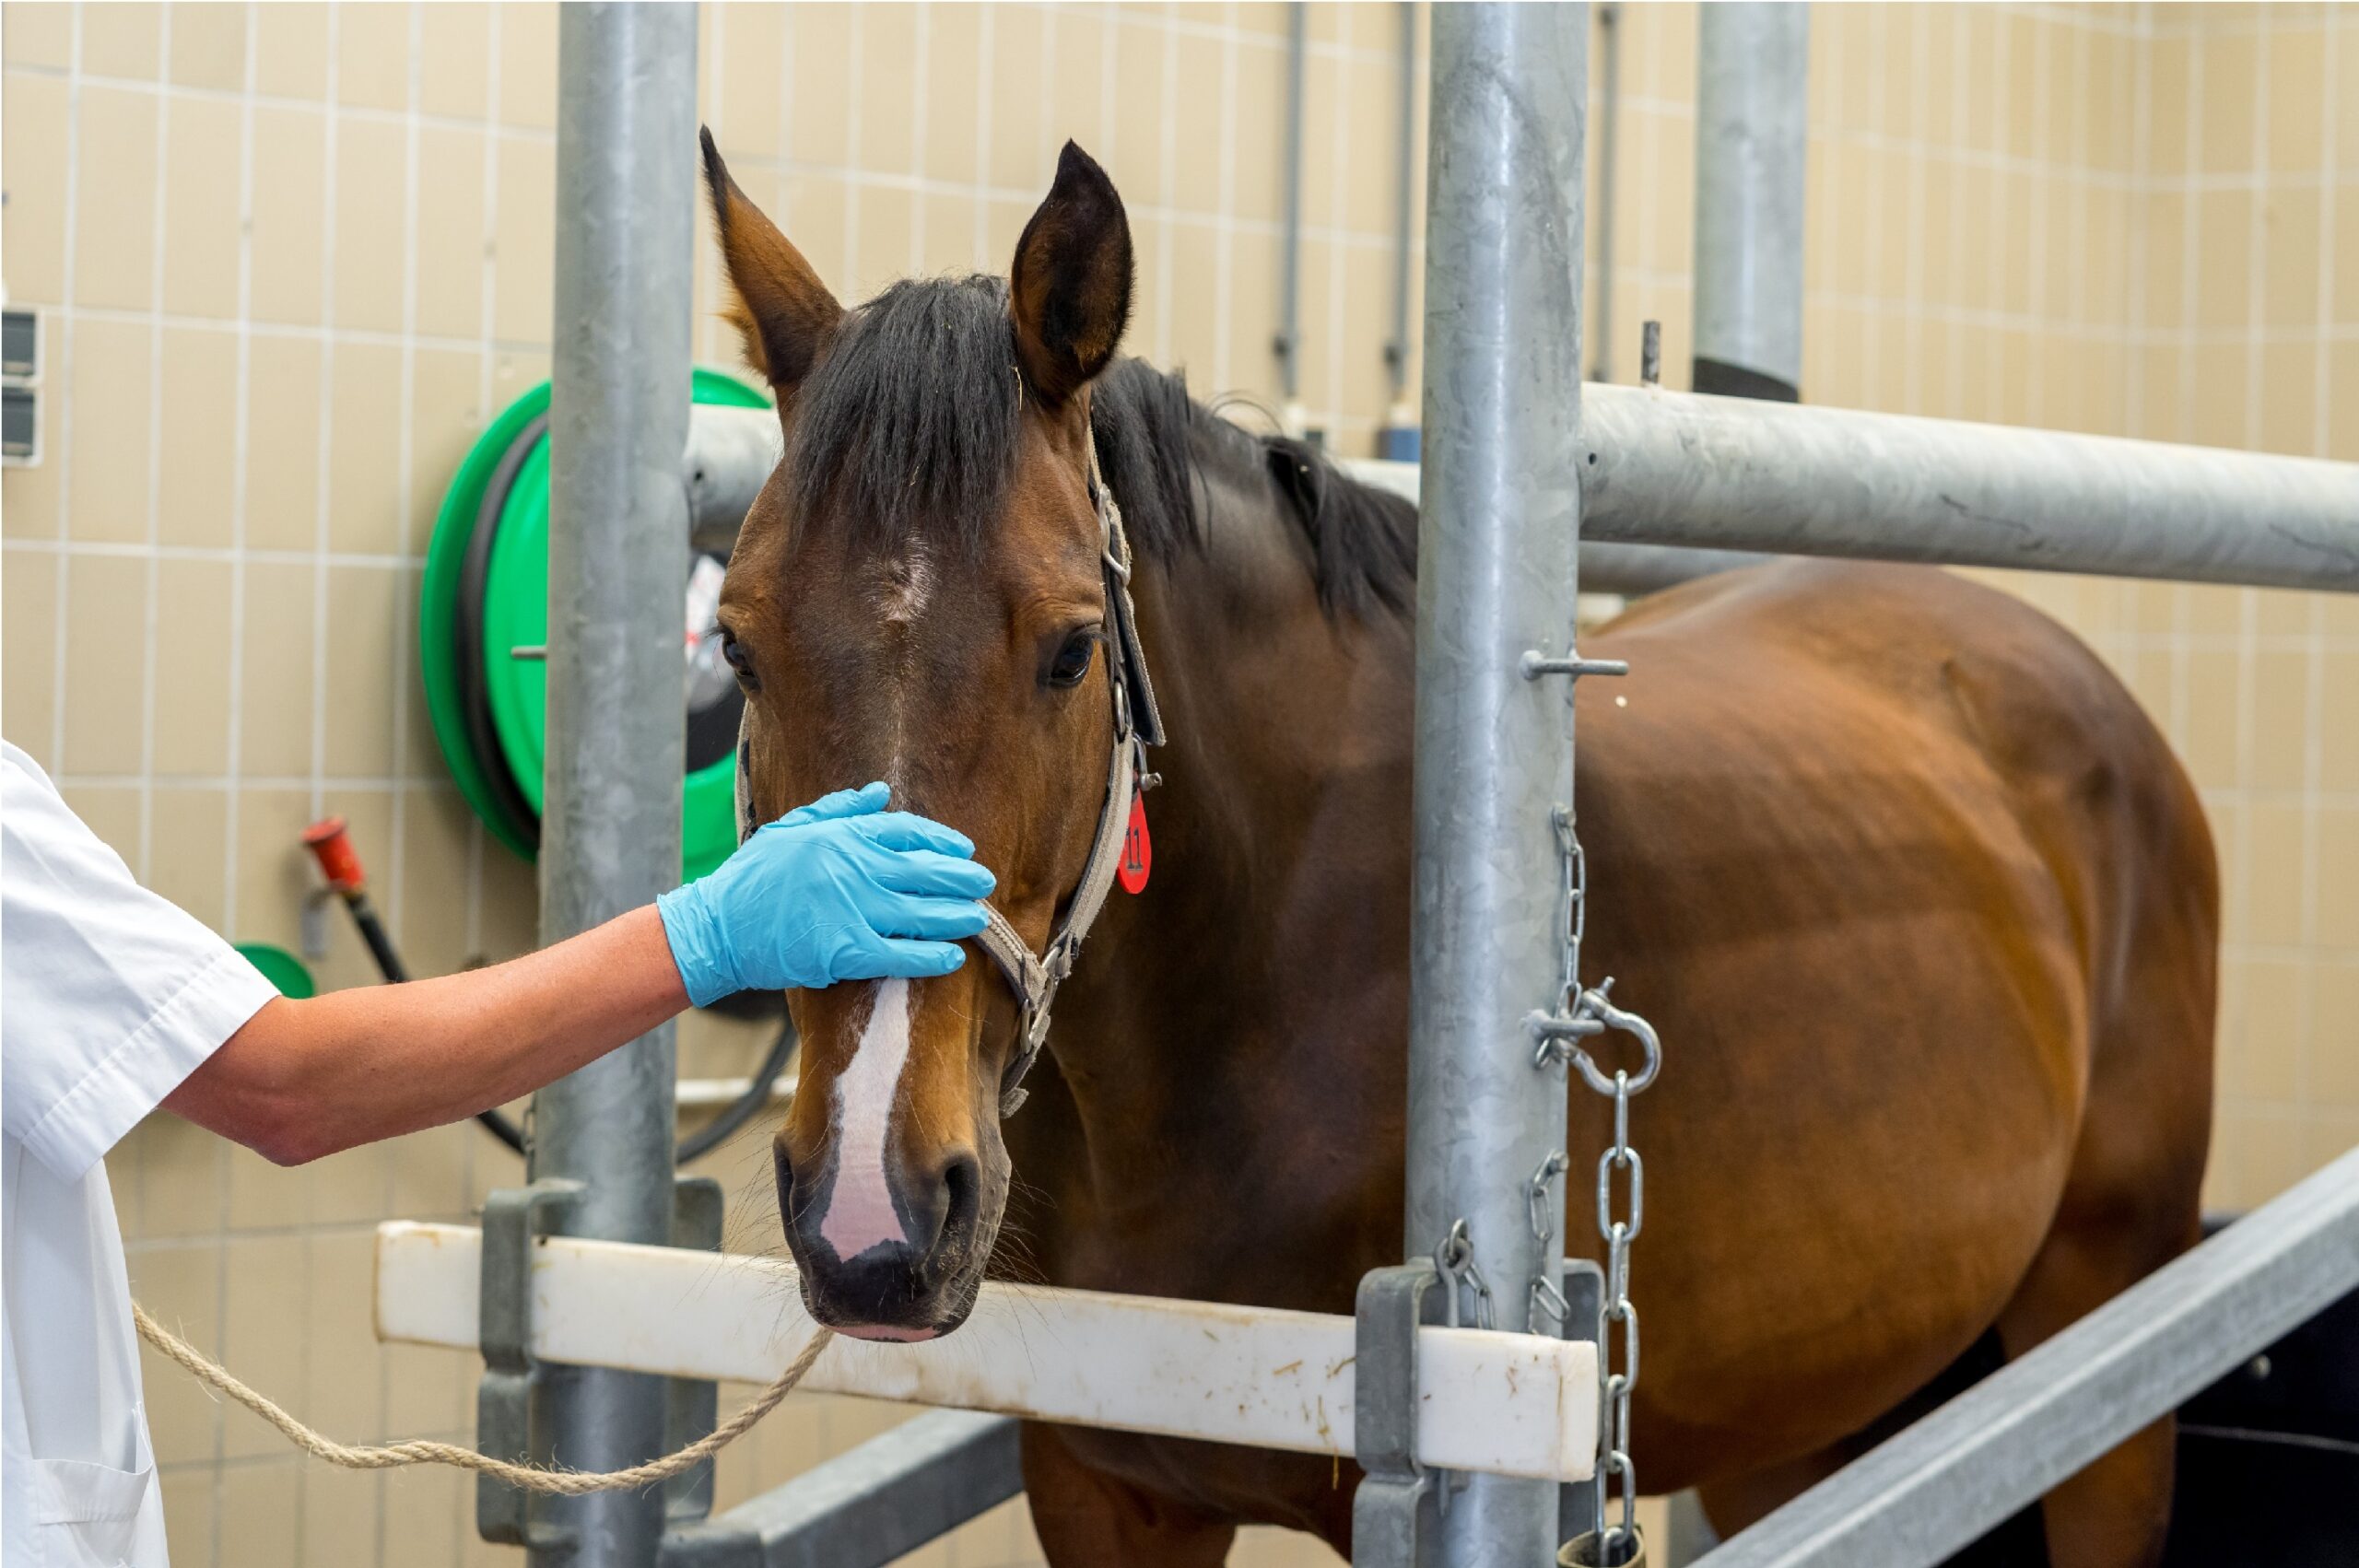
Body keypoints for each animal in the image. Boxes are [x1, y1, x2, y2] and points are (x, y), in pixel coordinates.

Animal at [700, 134, 2218, 1568]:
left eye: (1072, 649)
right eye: (739, 645)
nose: (872, 1208)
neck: (1264, 967)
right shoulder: (1106, 1488)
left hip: (2101, 1337)